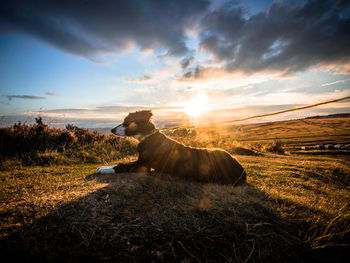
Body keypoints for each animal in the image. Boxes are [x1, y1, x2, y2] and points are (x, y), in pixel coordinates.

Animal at [98, 110, 246, 187]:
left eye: (127, 122)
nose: (111, 130)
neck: (147, 137)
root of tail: (242, 170)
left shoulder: (143, 165)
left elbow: (121, 165)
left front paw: (103, 169)